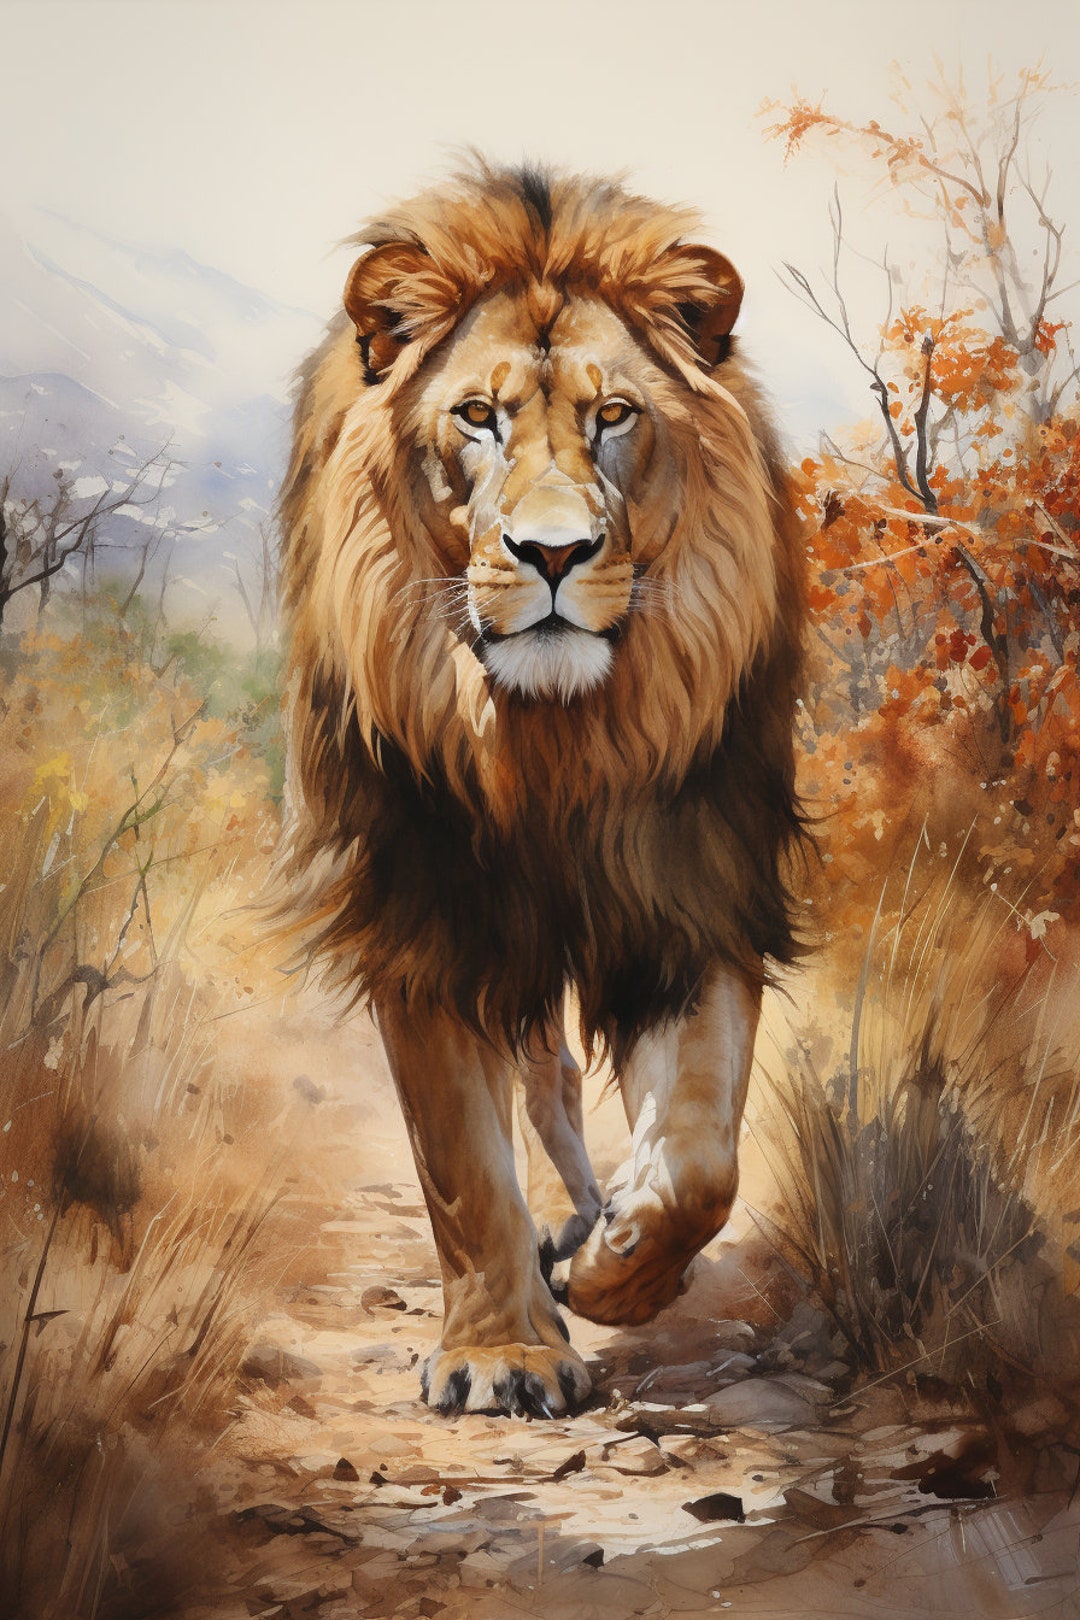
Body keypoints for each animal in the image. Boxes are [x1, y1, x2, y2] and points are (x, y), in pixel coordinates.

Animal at [276, 161, 807, 1419]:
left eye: (616, 417)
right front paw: (504, 1354)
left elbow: (701, 1152)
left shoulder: (693, 887)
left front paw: (622, 1266)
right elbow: (461, 1162)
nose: (554, 554)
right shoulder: (428, 916)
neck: (553, 749)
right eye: (478, 416)